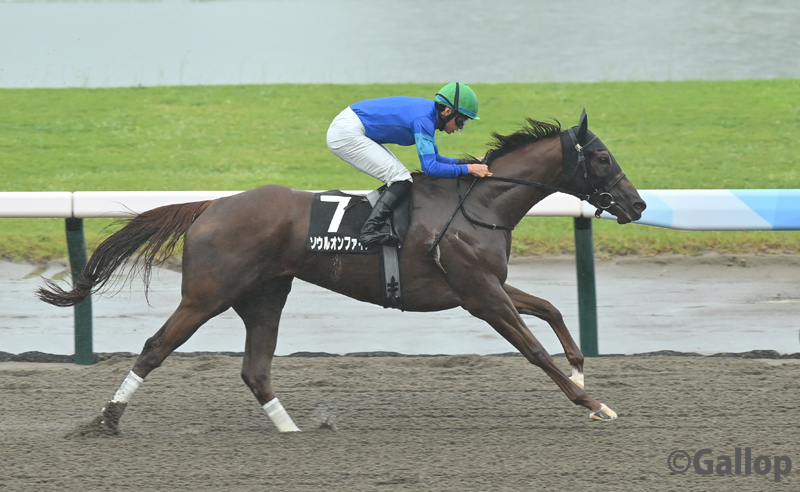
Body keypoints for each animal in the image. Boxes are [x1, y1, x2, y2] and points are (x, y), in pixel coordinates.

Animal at [38, 110, 646, 434]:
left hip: (265, 296)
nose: (638, 205)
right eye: (602, 159)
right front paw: (594, 403)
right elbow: (534, 348)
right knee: (154, 348)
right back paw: (108, 420)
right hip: (207, 295)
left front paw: (582, 373)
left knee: (255, 369)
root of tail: (211, 205)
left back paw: (293, 430)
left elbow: (552, 311)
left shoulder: (487, 285)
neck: (479, 202)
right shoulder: (480, 295)